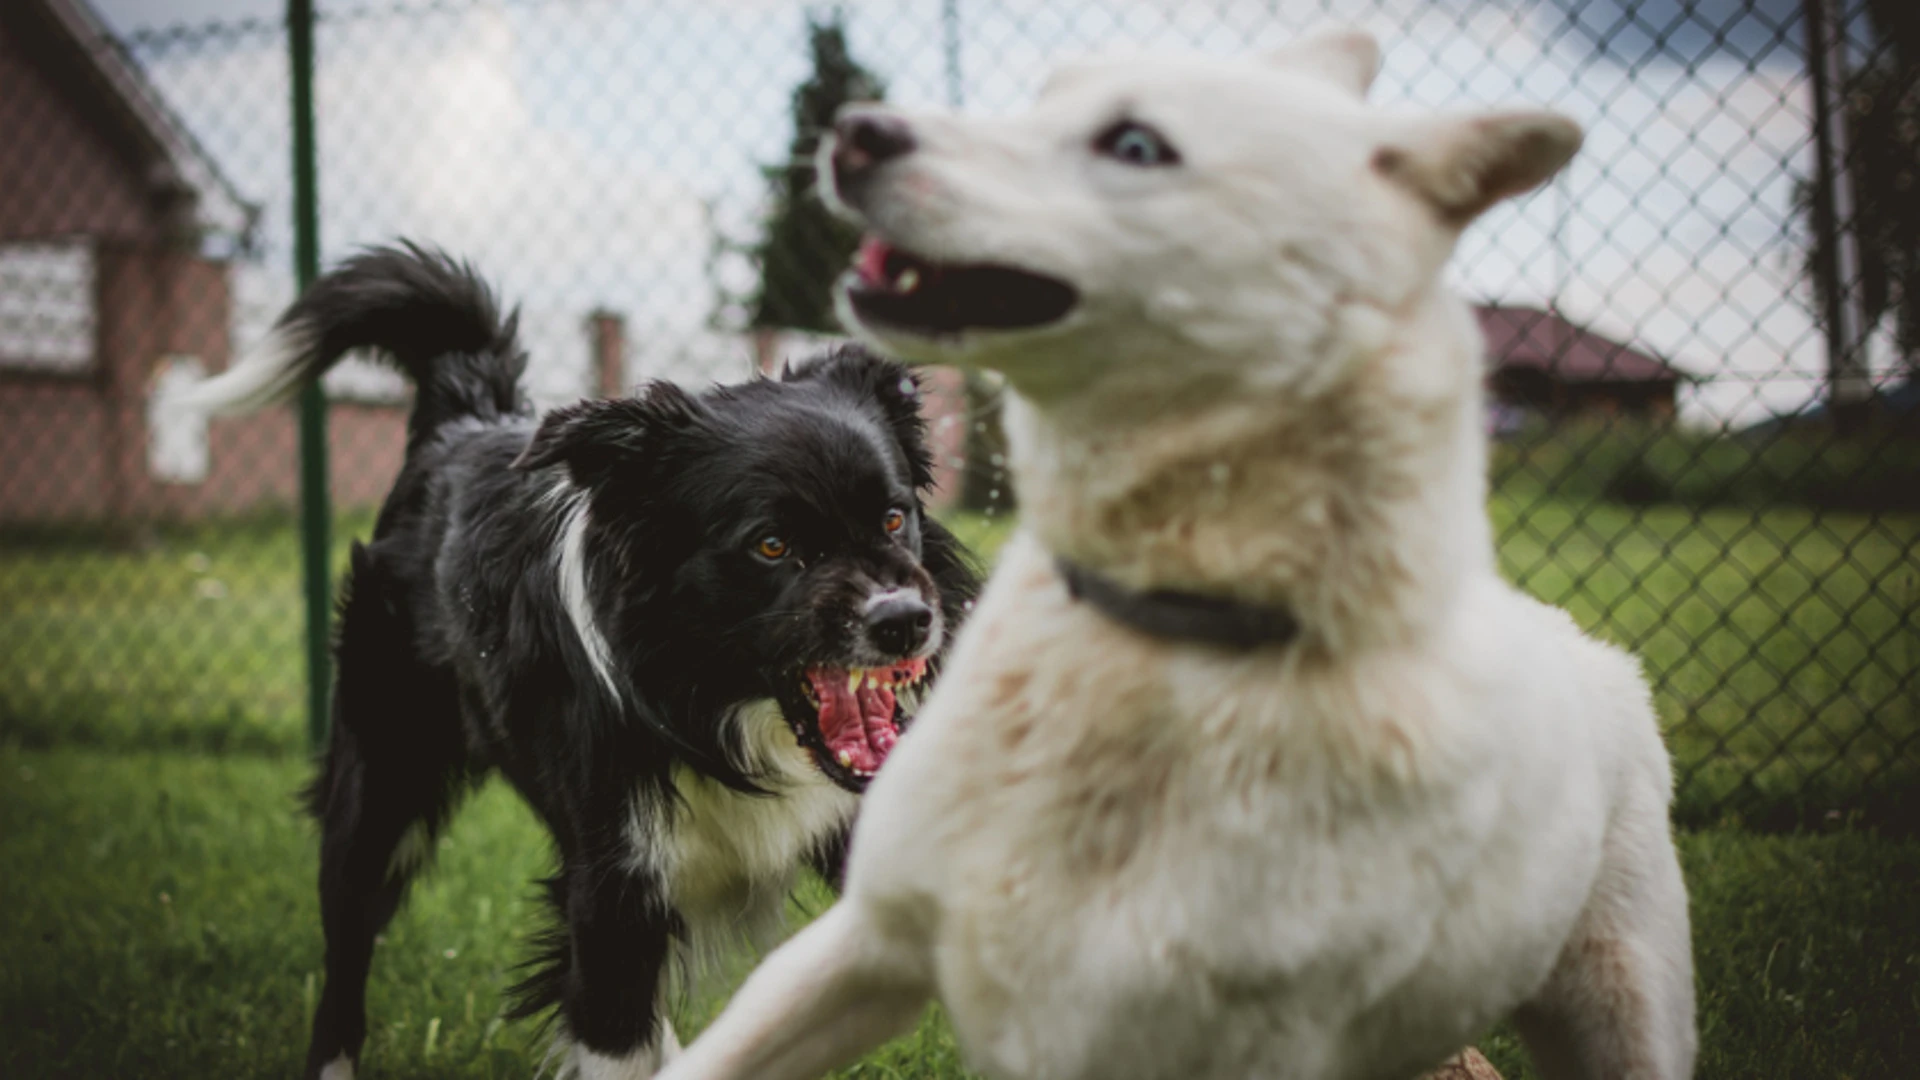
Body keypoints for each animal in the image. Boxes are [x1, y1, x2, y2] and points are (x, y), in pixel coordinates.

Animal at [174, 244, 983, 1076]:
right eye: (771, 545)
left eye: (893, 518)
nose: (906, 621)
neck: (715, 710)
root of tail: (464, 417)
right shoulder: (612, 891)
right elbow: (613, 1034)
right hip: (381, 781)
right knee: (346, 953)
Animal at [660, 27, 1697, 1076]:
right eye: (1045, 95)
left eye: (1136, 144)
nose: (856, 132)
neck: (1157, 648)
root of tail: (1579, 640)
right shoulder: (866, 941)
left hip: (1623, 1008)